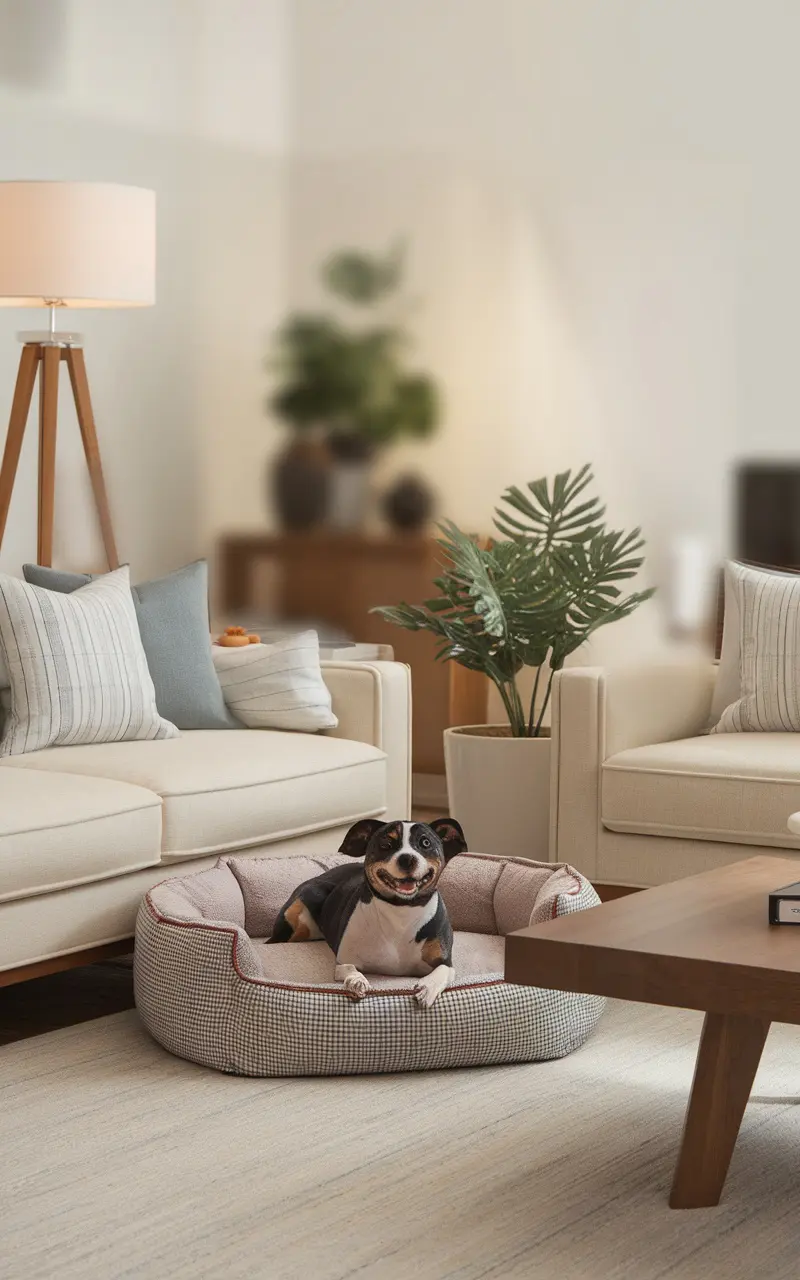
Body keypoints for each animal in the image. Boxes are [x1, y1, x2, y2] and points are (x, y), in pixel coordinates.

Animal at [268, 819, 468, 1008]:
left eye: (425, 842)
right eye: (386, 844)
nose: (407, 858)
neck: (401, 909)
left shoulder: (445, 961)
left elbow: (442, 971)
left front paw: (427, 989)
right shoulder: (343, 960)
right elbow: (349, 968)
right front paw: (357, 982)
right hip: (301, 911)